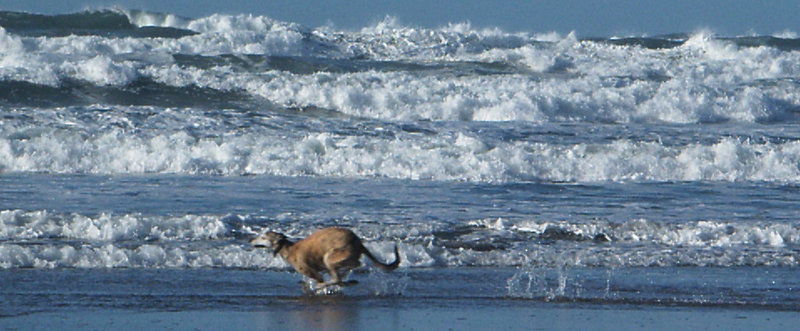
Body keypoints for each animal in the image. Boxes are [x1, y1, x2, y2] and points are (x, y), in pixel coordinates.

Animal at [250, 227, 400, 290]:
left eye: (263, 237)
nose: (251, 241)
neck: (288, 248)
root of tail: (358, 242)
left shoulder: (313, 273)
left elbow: (324, 280)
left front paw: (320, 287)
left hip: (330, 256)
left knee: (350, 268)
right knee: (344, 273)